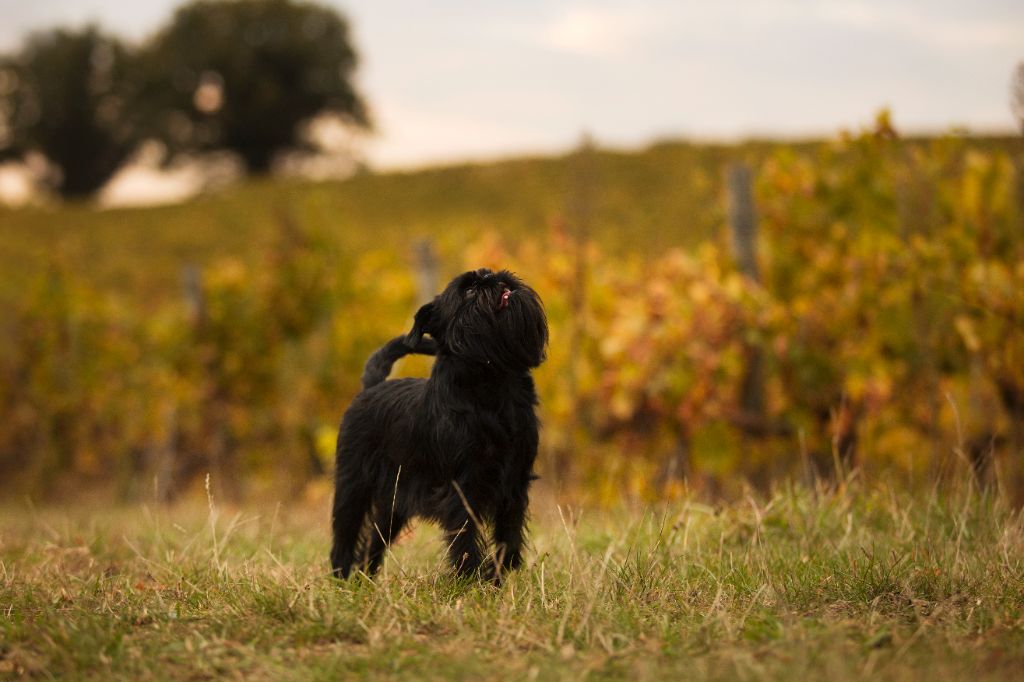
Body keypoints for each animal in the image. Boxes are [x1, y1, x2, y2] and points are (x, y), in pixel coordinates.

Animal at [331, 266, 548, 577]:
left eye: (495, 275)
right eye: (468, 290)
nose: (494, 279)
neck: (495, 382)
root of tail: (372, 386)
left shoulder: (515, 484)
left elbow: (509, 536)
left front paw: (498, 577)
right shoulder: (461, 487)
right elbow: (466, 538)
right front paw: (470, 580)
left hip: (393, 504)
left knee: (374, 540)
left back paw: (364, 580)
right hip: (353, 486)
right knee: (345, 536)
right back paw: (340, 579)